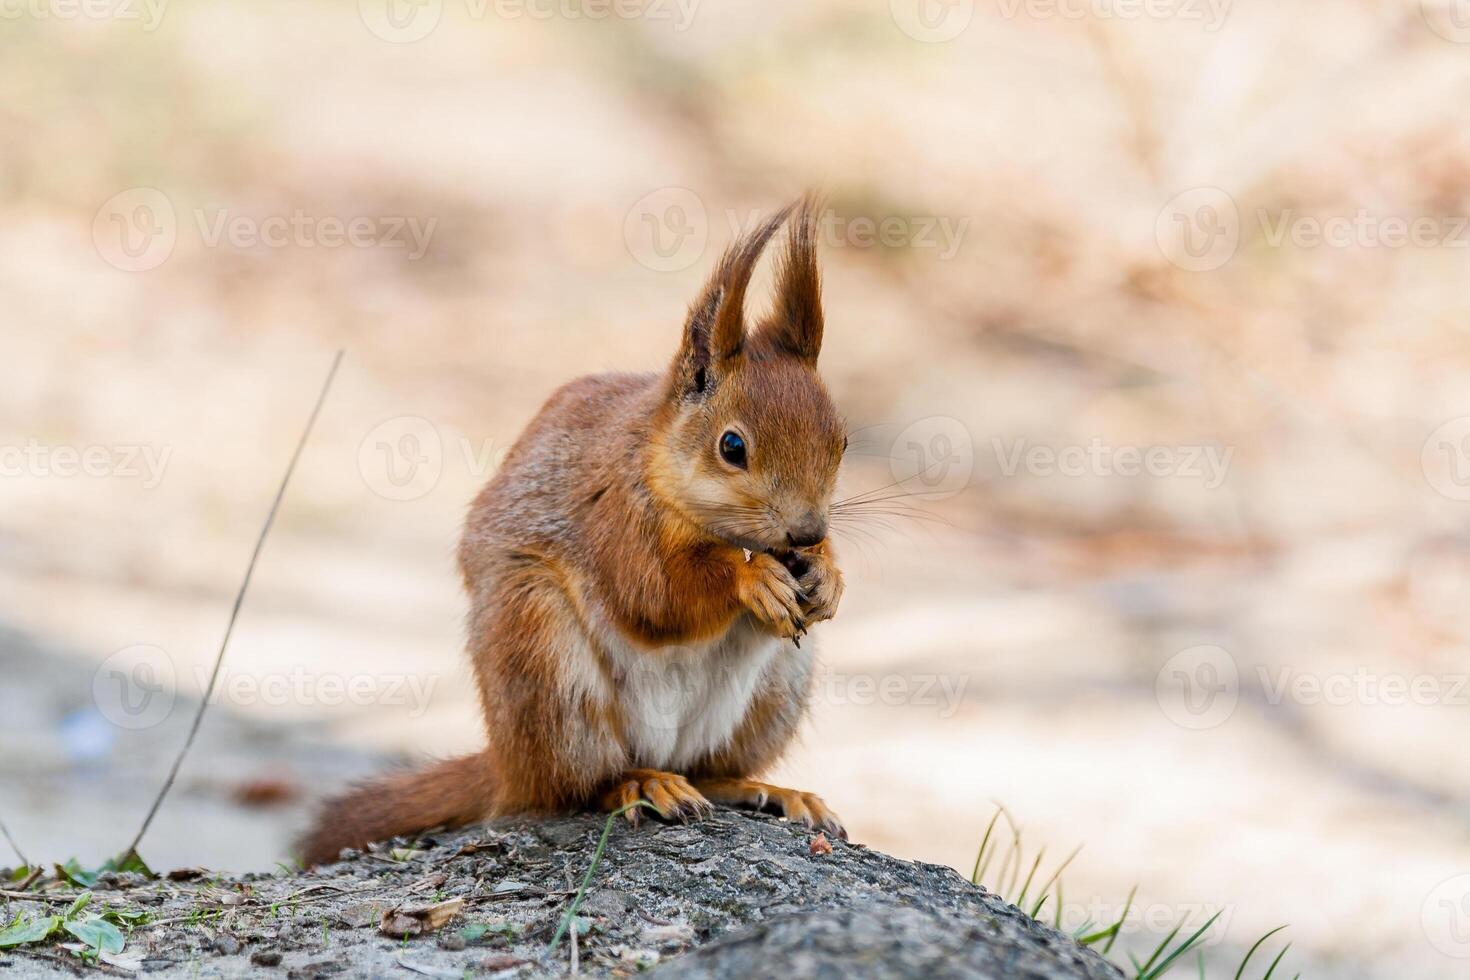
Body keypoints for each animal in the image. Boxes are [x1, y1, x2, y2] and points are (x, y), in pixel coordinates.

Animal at [296, 199, 846, 863]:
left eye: (843, 440)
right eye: (732, 447)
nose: (805, 532)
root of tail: (507, 765)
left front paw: (830, 574)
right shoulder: (616, 518)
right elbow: (656, 596)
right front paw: (753, 578)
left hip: (775, 692)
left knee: (710, 768)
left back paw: (766, 790)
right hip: (541, 653)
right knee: (574, 786)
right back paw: (640, 784)